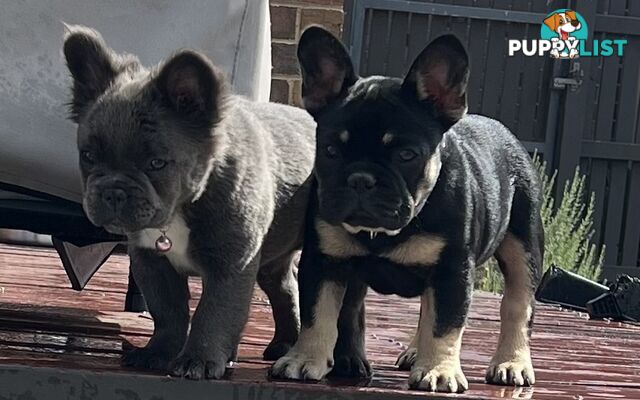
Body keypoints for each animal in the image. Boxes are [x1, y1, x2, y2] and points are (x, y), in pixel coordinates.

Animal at [63, 25, 316, 382]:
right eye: (88, 156)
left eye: (156, 163)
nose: (113, 191)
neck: (180, 209)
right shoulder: (152, 263)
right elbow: (168, 313)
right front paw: (158, 352)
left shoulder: (231, 265)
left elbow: (214, 313)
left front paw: (199, 359)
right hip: (271, 260)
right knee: (283, 288)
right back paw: (282, 343)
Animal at [270, 28, 540, 394]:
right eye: (329, 151)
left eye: (406, 155)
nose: (361, 178)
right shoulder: (323, 261)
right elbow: (317, 313)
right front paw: (304, 358)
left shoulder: (453, 270)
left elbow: (445, 324)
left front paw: (439, 369)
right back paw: (413, 352)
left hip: (522, 246)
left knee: (517, 305)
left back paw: (512, 363)